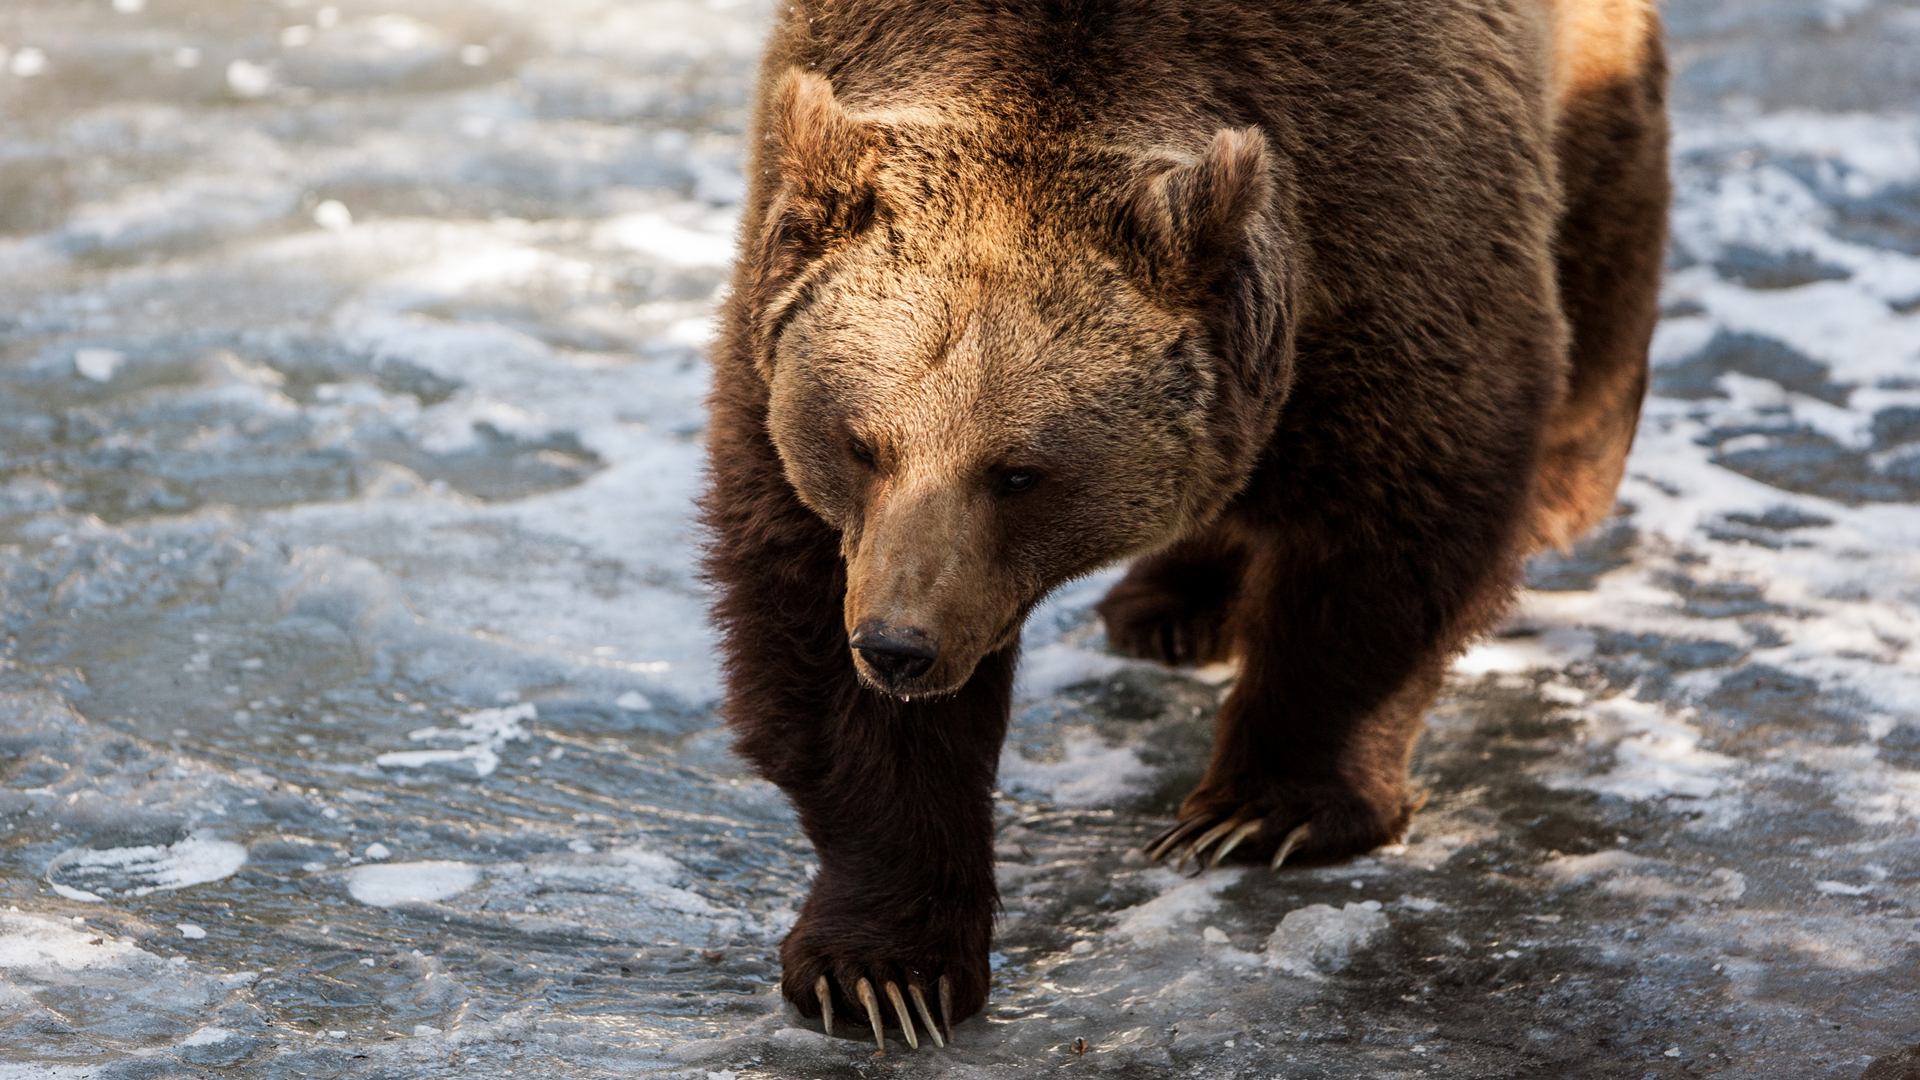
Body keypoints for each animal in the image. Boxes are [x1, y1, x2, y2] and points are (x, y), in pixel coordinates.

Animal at [701, 0, 1667, 1051]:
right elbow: (808, 630)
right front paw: (884, 970)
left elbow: (1395, 523)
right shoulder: (782, 356)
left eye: (1017, 472)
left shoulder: (1398, 204)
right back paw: (1172, 603)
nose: (899, 647)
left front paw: (1261, 809)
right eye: (861, 444)